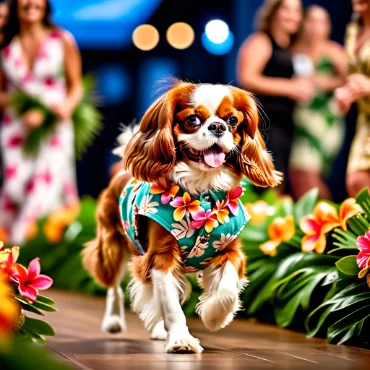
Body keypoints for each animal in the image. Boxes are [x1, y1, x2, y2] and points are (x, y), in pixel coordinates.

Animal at [83, 80, 280, 352]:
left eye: (232, 120)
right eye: (193, 120)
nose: (218, 126)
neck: (204, 193)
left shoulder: (230, 250)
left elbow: (227, 290)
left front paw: (214, 316)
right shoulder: (161, 257)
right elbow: (171, 305)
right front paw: (181, 340)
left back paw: (157, 329)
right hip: (111, 246)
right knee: (114, 286)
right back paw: (113, 321)